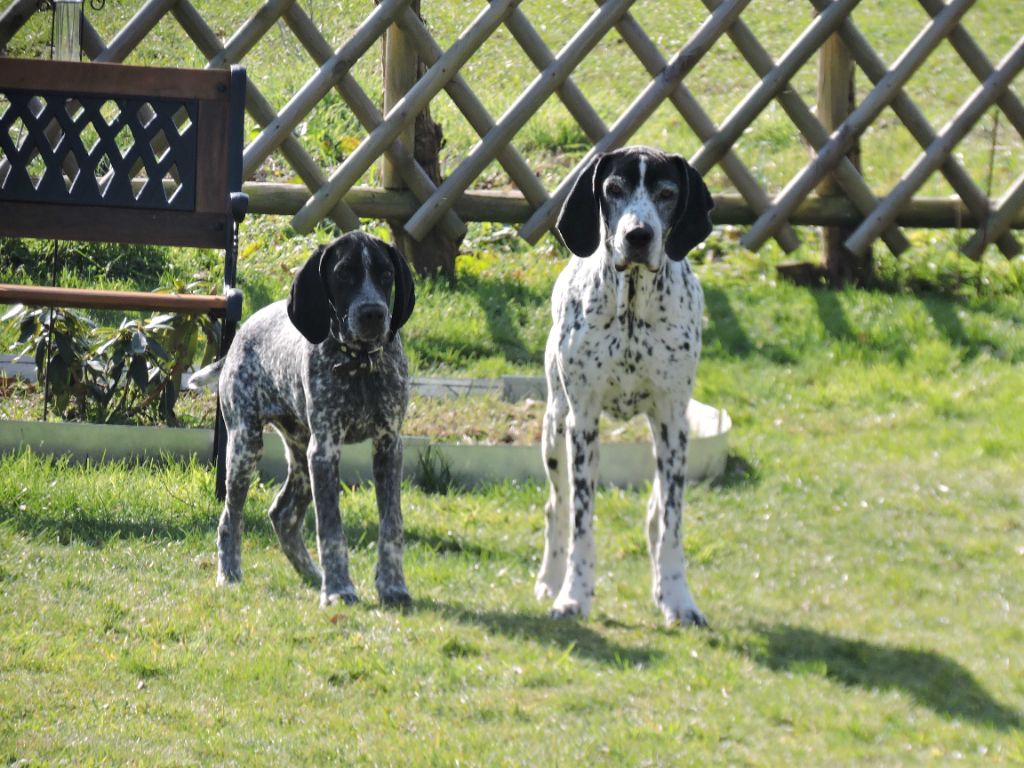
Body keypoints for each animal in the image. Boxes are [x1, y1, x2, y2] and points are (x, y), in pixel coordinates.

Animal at [190, 233, 413, 606]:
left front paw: (393, 586)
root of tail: (241, 332)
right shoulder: (325, 451)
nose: (373, 313)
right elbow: (331, 529)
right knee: (230, 518)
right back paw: (230, 573)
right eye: (343, 274)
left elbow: (391, 524)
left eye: (386, 274)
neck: (359, 363)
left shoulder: (389, 445)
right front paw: (339, 590)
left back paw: (312, 574)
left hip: (301, 459)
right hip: (246, 448)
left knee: (282, 514)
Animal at [540, 147, 716, 626]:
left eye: (667, 193)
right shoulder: (583, 425)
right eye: (613, 188)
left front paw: (678, 598)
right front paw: (573, 595)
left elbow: (671, 524)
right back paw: (550, 579)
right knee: (557, 507)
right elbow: (581, 523)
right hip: (554, 429)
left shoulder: (673, 425)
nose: (638, 235)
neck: (633, 308)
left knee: (656, 513)